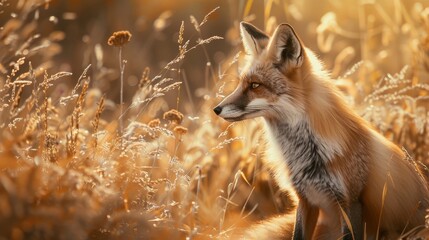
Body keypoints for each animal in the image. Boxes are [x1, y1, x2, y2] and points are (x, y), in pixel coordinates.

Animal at [213, 21, 428, 239]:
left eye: (255, 85)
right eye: (242, 84)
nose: (216, 109)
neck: (307, 153)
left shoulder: (351, 201)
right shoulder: (305, 199)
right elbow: (298, 235)